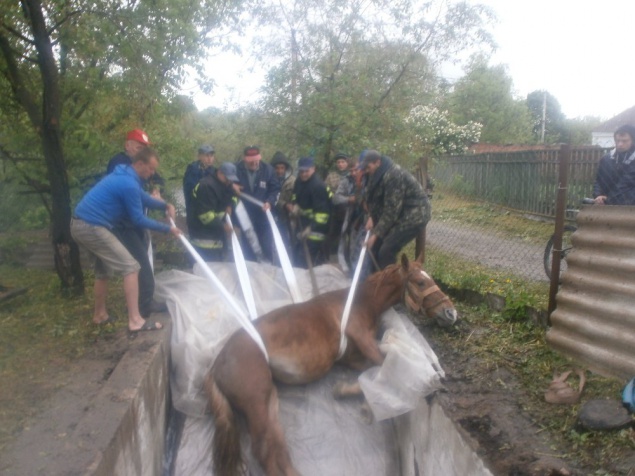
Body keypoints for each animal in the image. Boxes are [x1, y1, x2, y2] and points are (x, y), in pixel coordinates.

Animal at [204, 256, 458, 476]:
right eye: (421, 282)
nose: (451, 312)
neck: (359, 303)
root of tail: (216, 365)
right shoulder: (366, 344)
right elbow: (385, 368)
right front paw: (364, 403)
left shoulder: (352, 357)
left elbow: (372, 371)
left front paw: (349, 392)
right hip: (256, 403)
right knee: (264, 451)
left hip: (269, 401)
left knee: (276, 447)